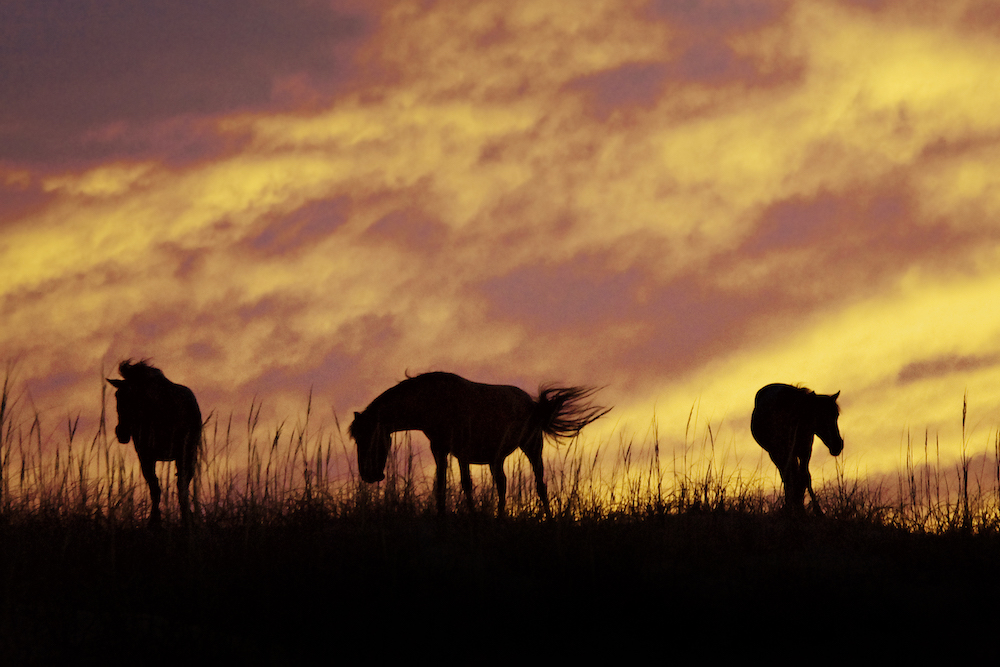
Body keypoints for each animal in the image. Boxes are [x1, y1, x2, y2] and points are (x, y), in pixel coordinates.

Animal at [107, 360, 201, 528]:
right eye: (117, 395)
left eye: (134, 397)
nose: (121, 432)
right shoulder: (145, 456)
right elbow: (154, 487)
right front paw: (154, 520)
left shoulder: (184, 454)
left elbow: (181, 487)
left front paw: (186, 518)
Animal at [352, 374, 608, 520]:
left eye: (367, 437)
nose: (368, 475)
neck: (432, 400)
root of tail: (533, 404)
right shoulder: (443, 449)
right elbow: (447, 486)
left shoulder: (456, 450)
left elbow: (462, 485)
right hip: (497, 459)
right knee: (502, 485)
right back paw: (500, 519)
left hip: (532, 447)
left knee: (540, 485)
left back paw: (547, 520)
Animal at [752, 380, 844, 516]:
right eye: (819, 416)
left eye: (836, 415)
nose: (837, 445)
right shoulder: (783, 452)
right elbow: (794, 477)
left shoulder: (805, 451)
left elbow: (804, 477)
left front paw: (810, 509)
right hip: (776, 454)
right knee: (787, 476)